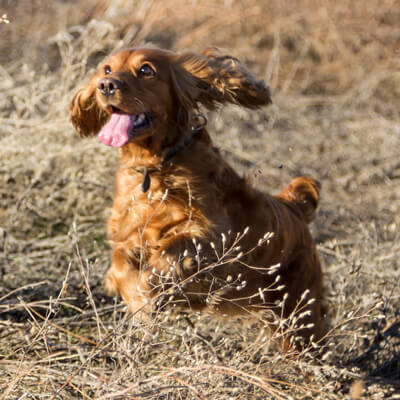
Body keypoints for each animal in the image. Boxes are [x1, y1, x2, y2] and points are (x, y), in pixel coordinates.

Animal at [69, 46, 324, 346]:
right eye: (107, 69)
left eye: (146, 70)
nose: (106, 85)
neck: (156, 167)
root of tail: (294, 207)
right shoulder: (129, 236)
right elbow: (120, 263)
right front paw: (137, 298)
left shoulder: (213, 235)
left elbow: (172, 248)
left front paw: (148, 290)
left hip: (299, 316)